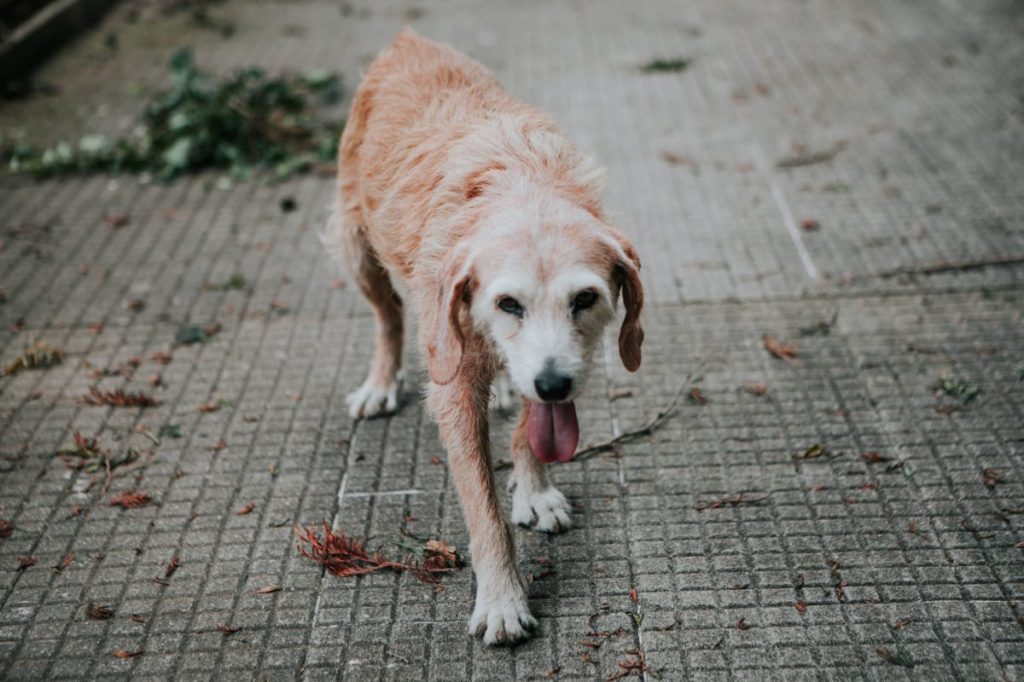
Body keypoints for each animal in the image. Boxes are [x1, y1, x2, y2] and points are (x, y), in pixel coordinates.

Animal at [319, 27, 643, 643]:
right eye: (507, 303)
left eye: (585, 299)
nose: (551, 385)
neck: (521, 184)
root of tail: (408, 39)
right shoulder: (453, 389)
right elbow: (482, 505)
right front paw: (502, 598)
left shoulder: (561, 364)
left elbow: (531, 433)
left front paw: (534, 489)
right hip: (355, 246)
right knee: (387, 319)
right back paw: (381, 382)